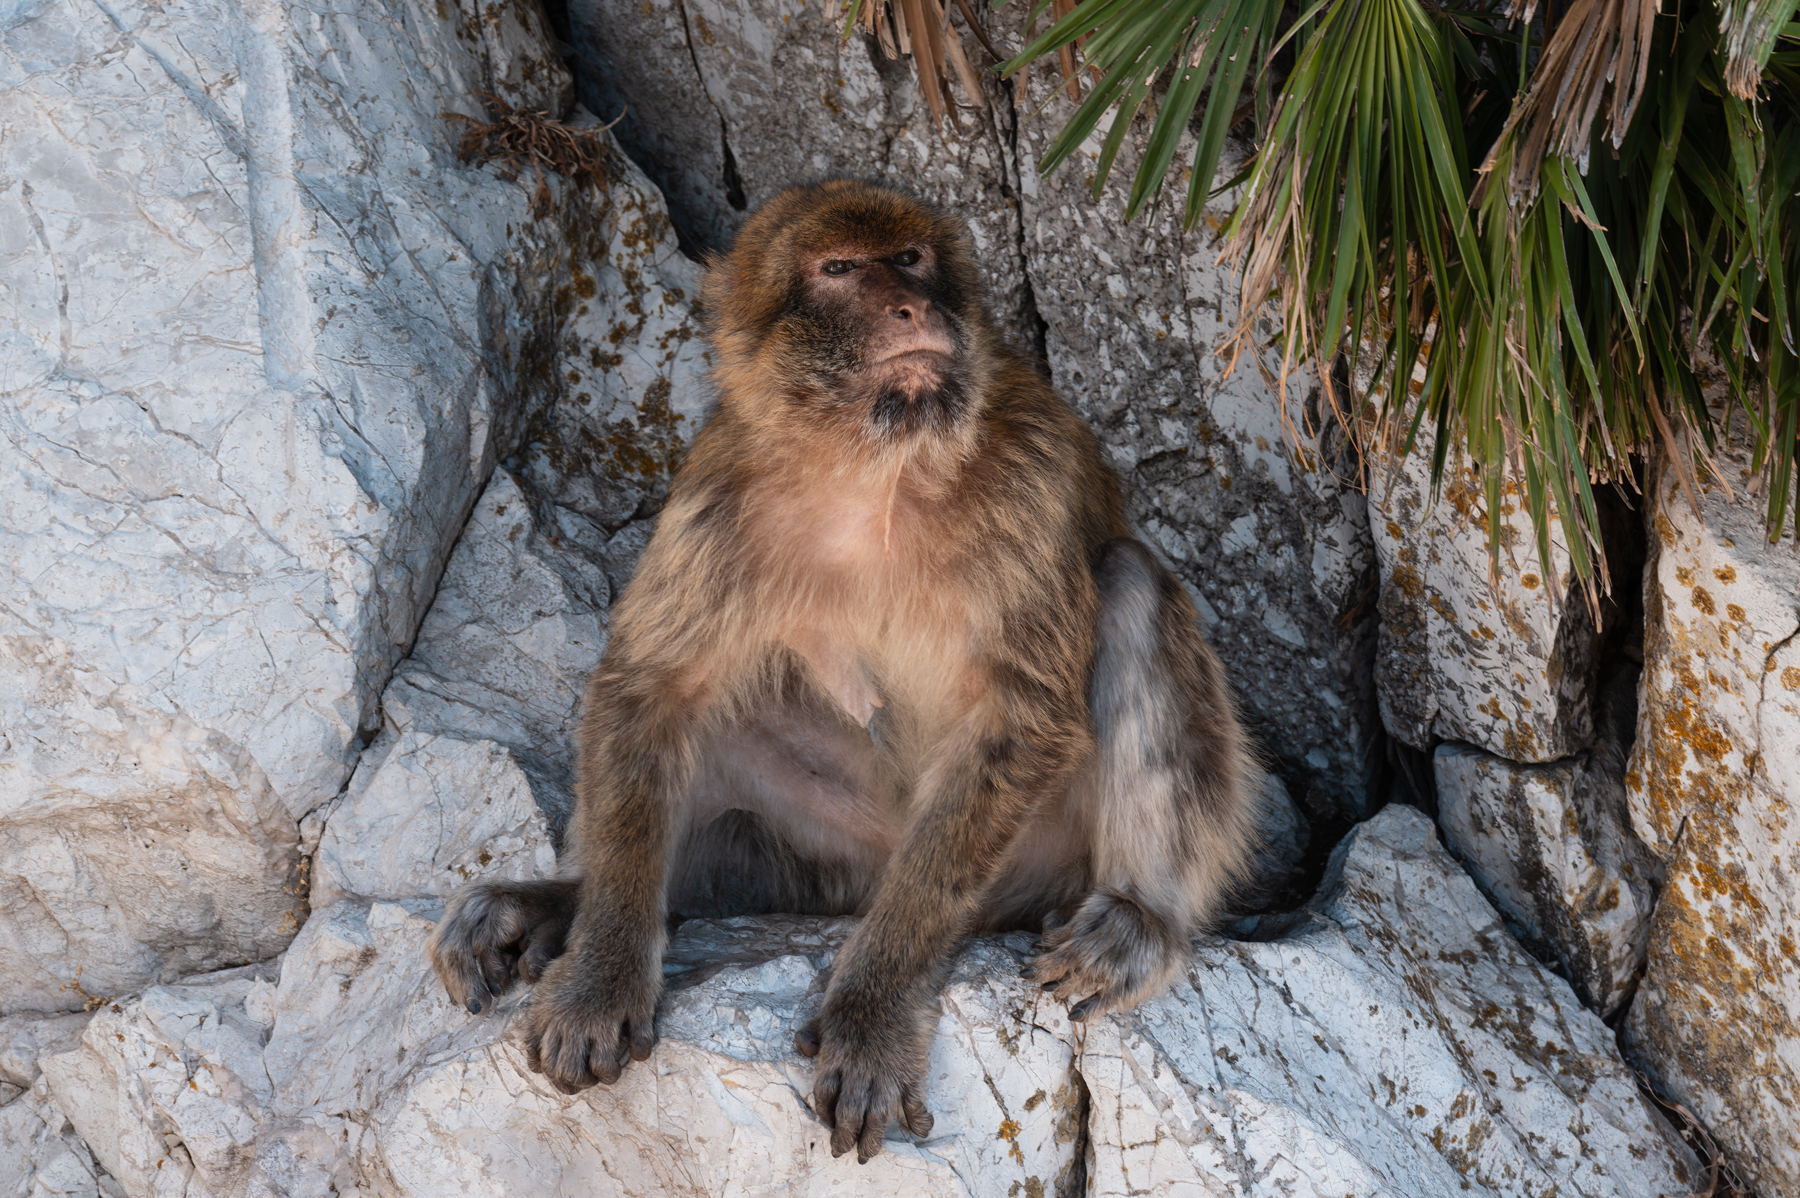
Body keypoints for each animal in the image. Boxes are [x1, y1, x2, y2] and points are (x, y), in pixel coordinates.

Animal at [428, 179, 1257, 1163]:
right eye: (838, 270)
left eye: (910, 260)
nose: (910, 308)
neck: (874, 468)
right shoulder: (716, 497)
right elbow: (651, 690)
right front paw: (601, 971)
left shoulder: (1034, 475)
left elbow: (1022, 720)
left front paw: (870, 1014)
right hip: (829, 857)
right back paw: (557, 906)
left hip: (1031, 869)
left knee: (1131, 582)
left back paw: (1142, 922)